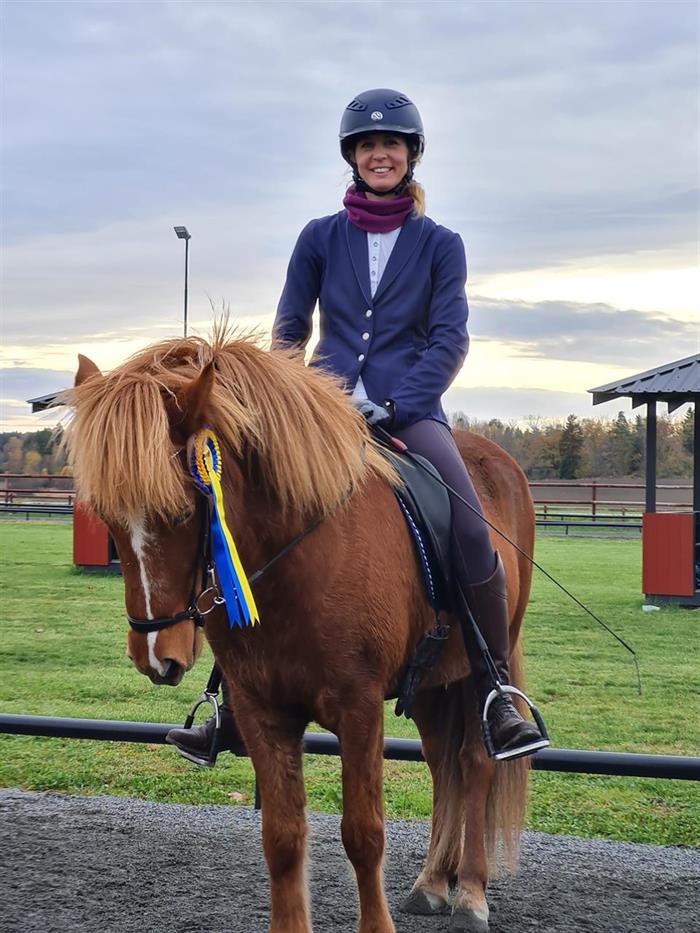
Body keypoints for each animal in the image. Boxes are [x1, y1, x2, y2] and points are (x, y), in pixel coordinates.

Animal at [65, 332, 532, 928]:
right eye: (105, 517)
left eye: (183, 511)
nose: (155, 654)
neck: (298, 556)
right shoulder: (261, 709)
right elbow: (283, 838)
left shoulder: (359, 709)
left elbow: (364, 834)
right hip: (433, 681)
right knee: (442, 765)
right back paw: (432, 882)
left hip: (479, 668)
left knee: (474, 763)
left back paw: (470, 891)